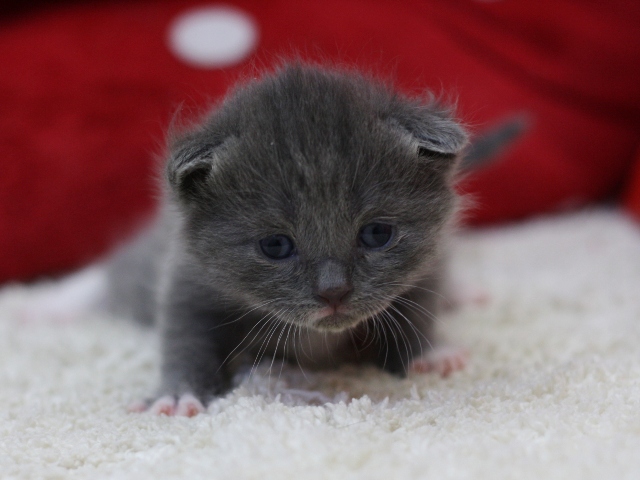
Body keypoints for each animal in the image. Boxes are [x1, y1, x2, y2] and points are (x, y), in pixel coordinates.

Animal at [107, 62, 468, 416]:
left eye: (377, 234)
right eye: (275, 246)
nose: (333, 291)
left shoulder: (427, 268)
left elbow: (418, 313)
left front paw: (426, 356)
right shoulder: (188, 281)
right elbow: (185, 338)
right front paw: (179, 395)